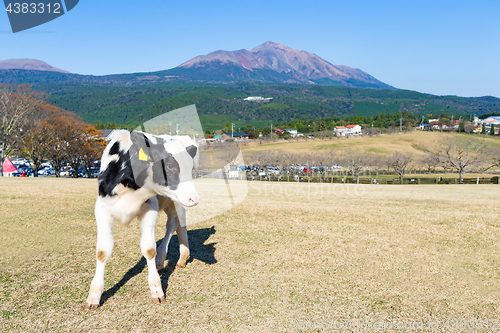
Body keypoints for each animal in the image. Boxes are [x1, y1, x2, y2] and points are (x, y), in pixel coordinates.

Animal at [84, 129, 199, 308]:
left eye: (190, 168)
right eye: (170, 165)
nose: (195, 198)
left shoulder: (151, 208)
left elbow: (149, 249)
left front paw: (157, 290)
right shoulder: (102, 210)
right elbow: (102, 252)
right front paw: (94, 295)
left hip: (176, 201)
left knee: (176, 224)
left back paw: (176, 258)